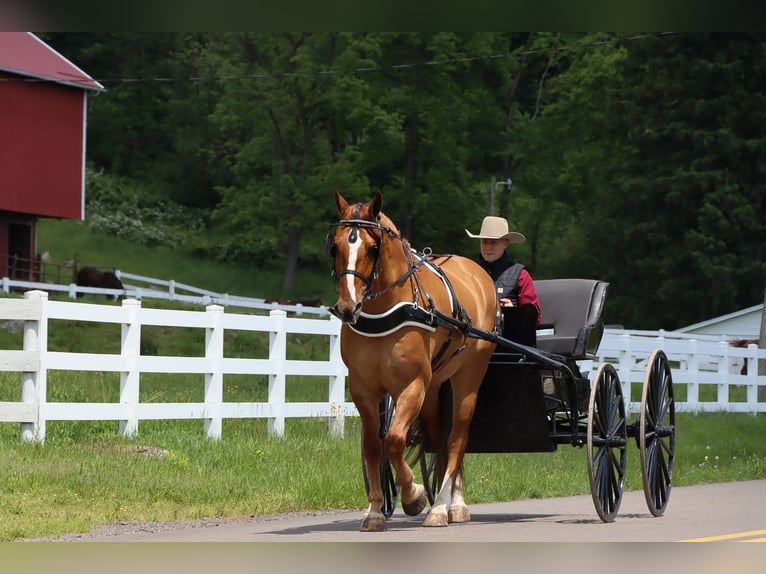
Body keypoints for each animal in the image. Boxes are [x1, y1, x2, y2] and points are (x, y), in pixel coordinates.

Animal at [328, 190, 498, 536]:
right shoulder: (363, 389)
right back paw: (451, 502)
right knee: (439, 439)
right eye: (335, 246)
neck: (385, 311)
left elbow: (394, 440)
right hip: (434, 389)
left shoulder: (413, 384)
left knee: (457, 439)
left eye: (373, 247)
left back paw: (445, 506)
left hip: (467, 379)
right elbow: (374, 445)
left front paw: (414, 495)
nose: (348, 307)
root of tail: (477, 272)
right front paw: (375, 511)